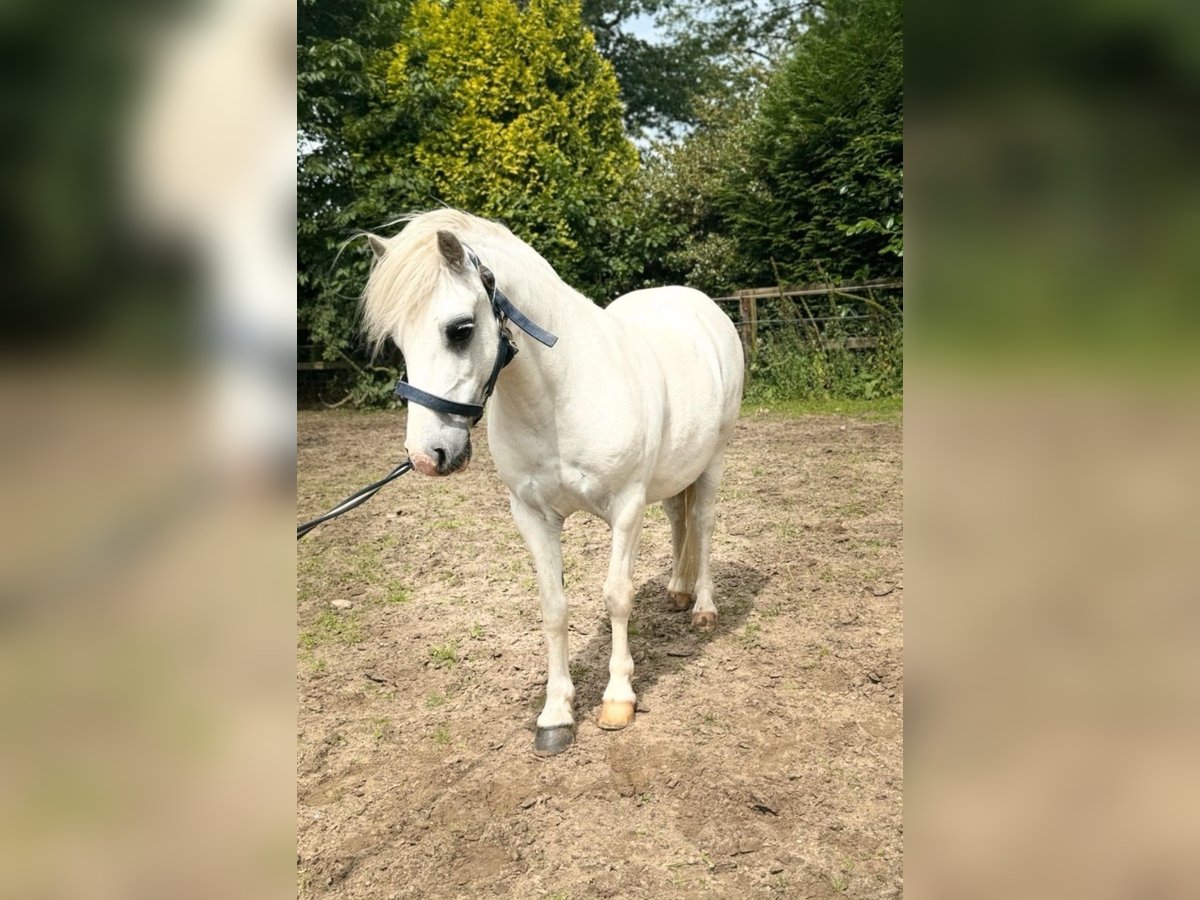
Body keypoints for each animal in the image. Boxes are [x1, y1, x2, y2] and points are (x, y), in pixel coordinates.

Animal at [360, 211, 744, 753]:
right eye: (398, 340)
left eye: (460, 330)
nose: (426, 456)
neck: (561, 393)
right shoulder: (533, 515)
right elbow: (553, 607)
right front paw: (556, 715)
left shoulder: (626, 507)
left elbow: (616, 596)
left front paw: (618, 699)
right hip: (674, 471)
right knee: (677, 518)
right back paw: (677, 591)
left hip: (713, 459)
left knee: (704, 524)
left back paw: (704, 609)